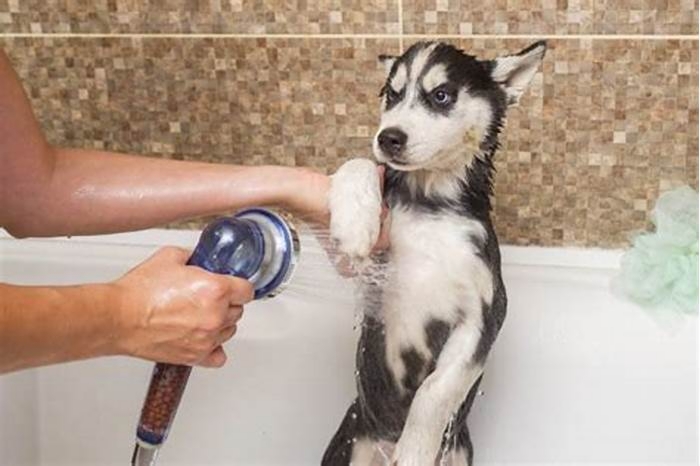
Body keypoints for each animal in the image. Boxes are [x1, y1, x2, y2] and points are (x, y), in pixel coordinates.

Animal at [322, 41, 548, 464]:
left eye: (441, 95)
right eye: (392, 95)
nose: (388, 138)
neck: (430, 203)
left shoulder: (484, 315)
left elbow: (435, 390)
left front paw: (414, 450)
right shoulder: (368, 277)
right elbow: (361, 164)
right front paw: (354, 221)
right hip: (350, 442)